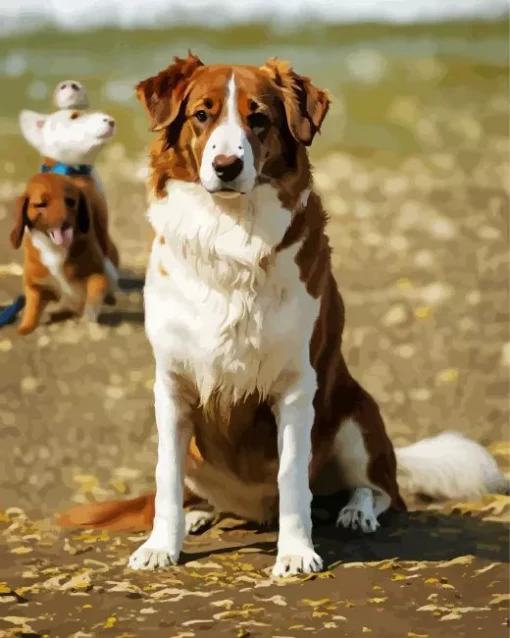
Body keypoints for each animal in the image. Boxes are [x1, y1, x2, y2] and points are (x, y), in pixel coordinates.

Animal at [10, 172, 118, 338]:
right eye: (41, 204)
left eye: (70, 202)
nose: (65, 224)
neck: (55, 249)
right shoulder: (35, 284)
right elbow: (32, 306)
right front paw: (26, 326)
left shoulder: (97, 273)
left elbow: (92, 300)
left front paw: (87, 321)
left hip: (107, 247)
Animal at [56, 52, 510, 576]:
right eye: (202, 115)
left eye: (259, 119)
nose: (227, 166)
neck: (230, 233)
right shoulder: (173, 386)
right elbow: (166, 477)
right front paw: (161, 544)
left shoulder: (295, 386)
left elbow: (293, 477)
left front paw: (295, 552)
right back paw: (199, 514)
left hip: (355, 417)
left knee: (381, 491)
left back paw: (355, 511)